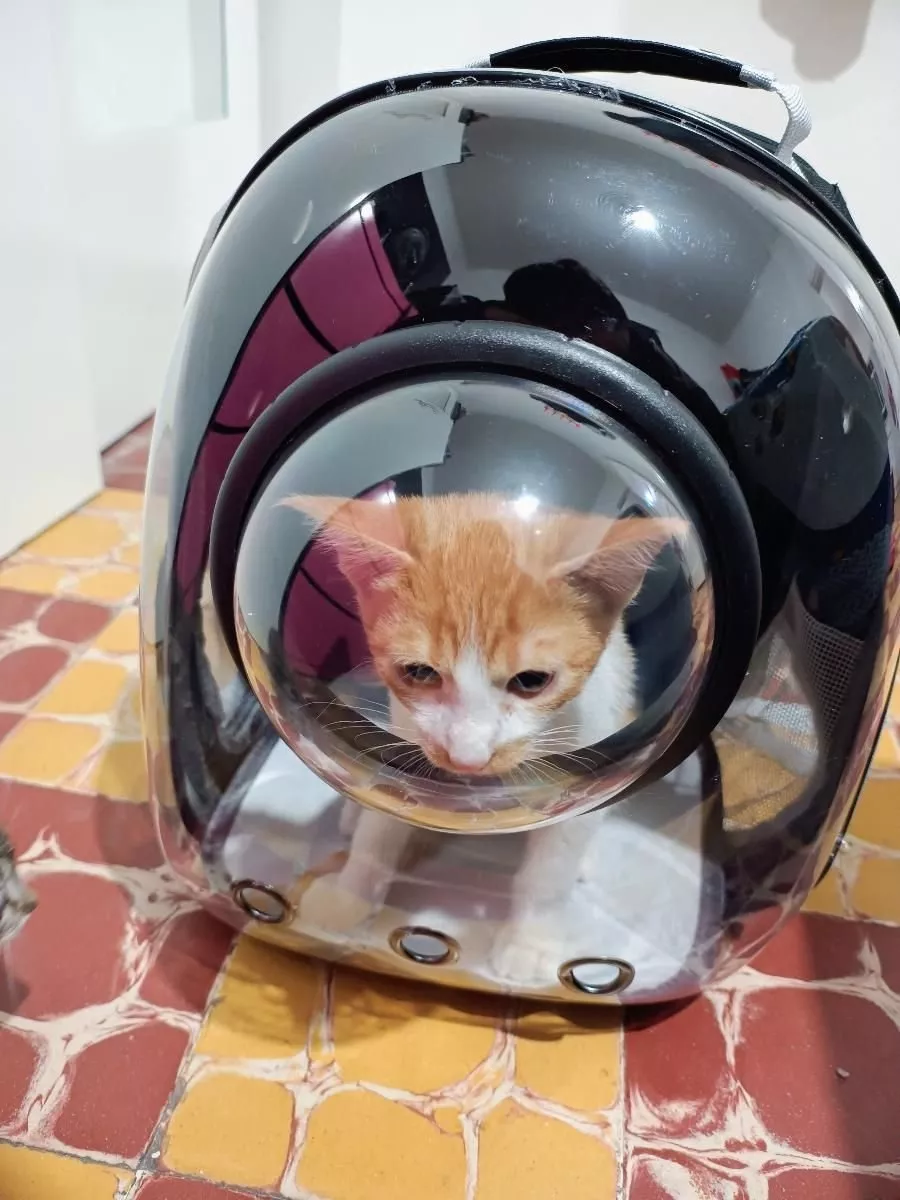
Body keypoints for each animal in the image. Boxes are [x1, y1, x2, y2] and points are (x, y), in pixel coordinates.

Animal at [281, 491, 683, 984]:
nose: (468, 757)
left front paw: (531, 941)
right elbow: (382, 827)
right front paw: (349, 897)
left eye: (531, 681)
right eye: (419, 672)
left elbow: (552, 866)